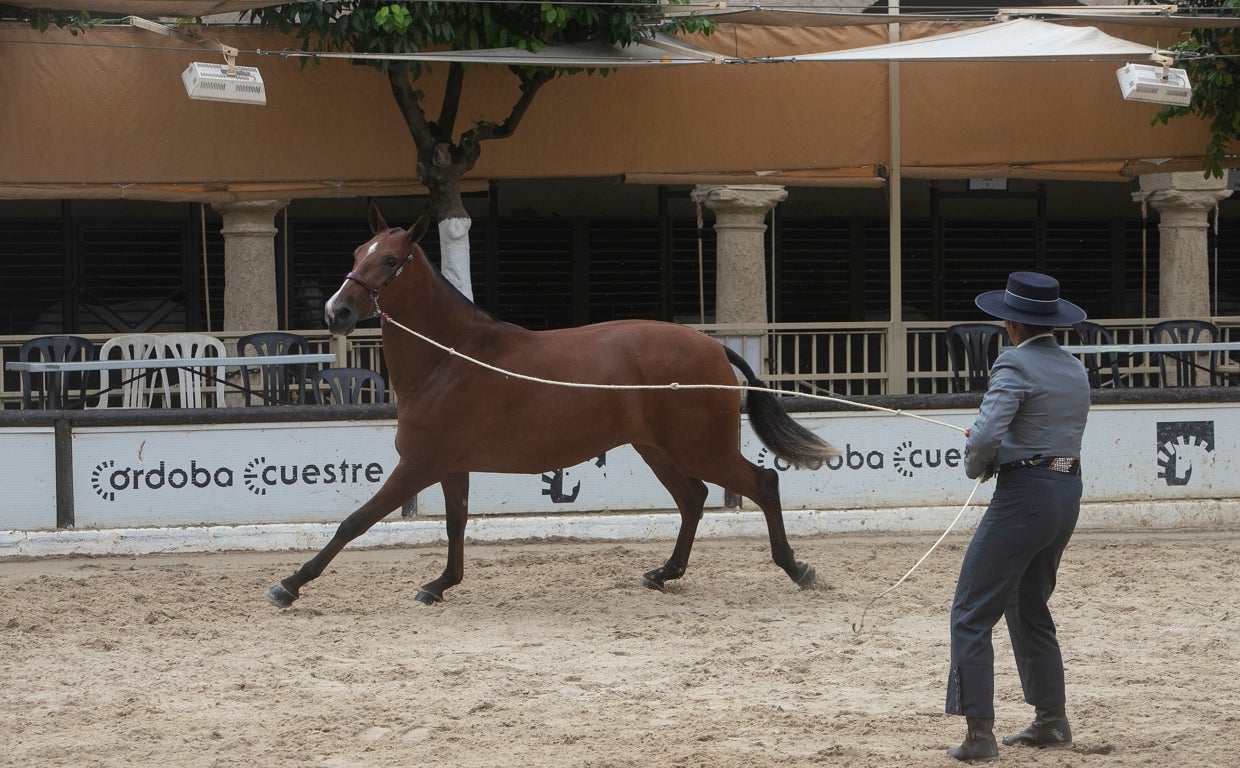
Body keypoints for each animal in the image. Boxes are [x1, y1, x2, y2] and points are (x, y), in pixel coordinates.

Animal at [266, 204, 838, 612]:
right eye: (357, 250)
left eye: (388, 260)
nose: (335, 312)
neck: (450, 358)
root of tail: (713, 346)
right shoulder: (449, 466)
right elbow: (455, 523)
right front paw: (440, 584)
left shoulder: (418, 465)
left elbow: (354, 522)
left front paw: (290, 584)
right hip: (657, 448)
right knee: (694, 498)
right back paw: (664, 573)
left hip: (701, 448)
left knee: (762, 483)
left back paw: (798, 569)